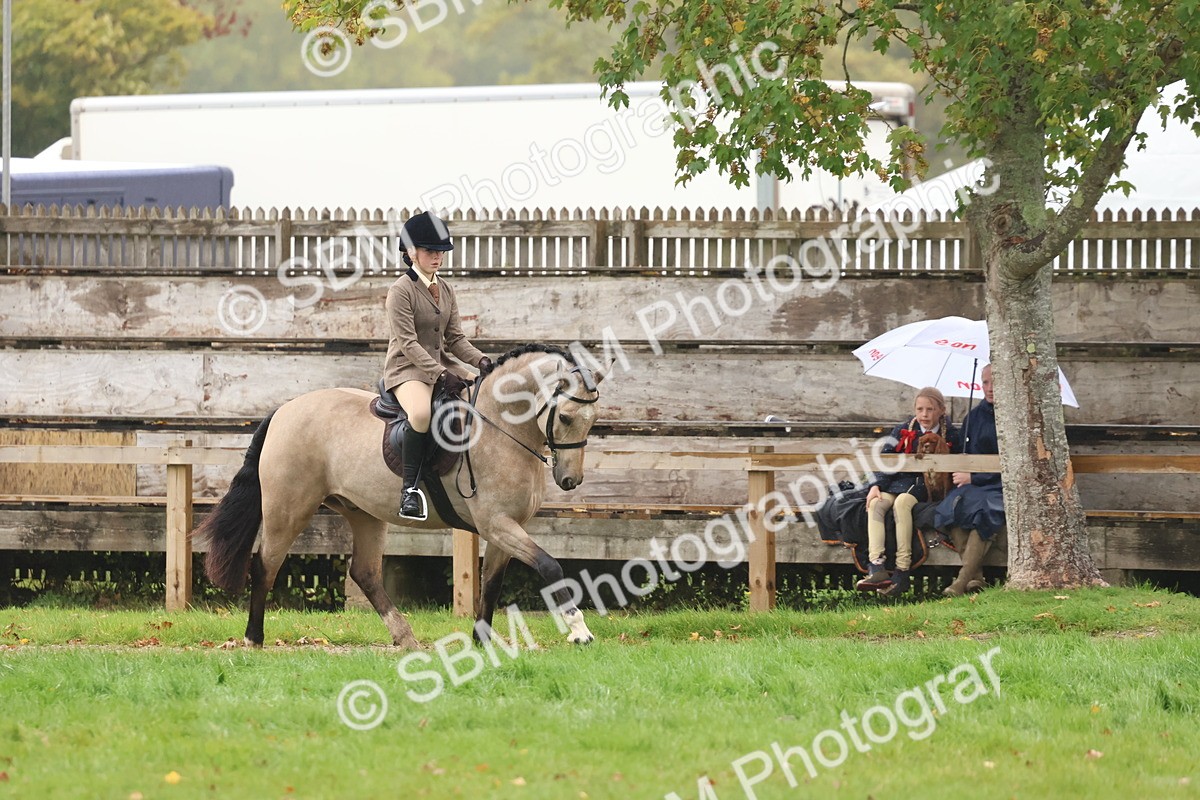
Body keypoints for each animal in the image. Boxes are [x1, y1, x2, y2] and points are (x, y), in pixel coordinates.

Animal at [194, 344, 606, 649]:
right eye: (566, 417)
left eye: (593, 420)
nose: (570, 480)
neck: (498, 429)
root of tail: (284, 409)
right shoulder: (498, 525)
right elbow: (550, 566)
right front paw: (579, 630)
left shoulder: (506, 528)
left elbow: (491, 585)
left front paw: (482, 643)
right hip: (288, 508)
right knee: (266, 564)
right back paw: (253, 638)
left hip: (363, 513)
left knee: (364, 572)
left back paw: (404, 637)